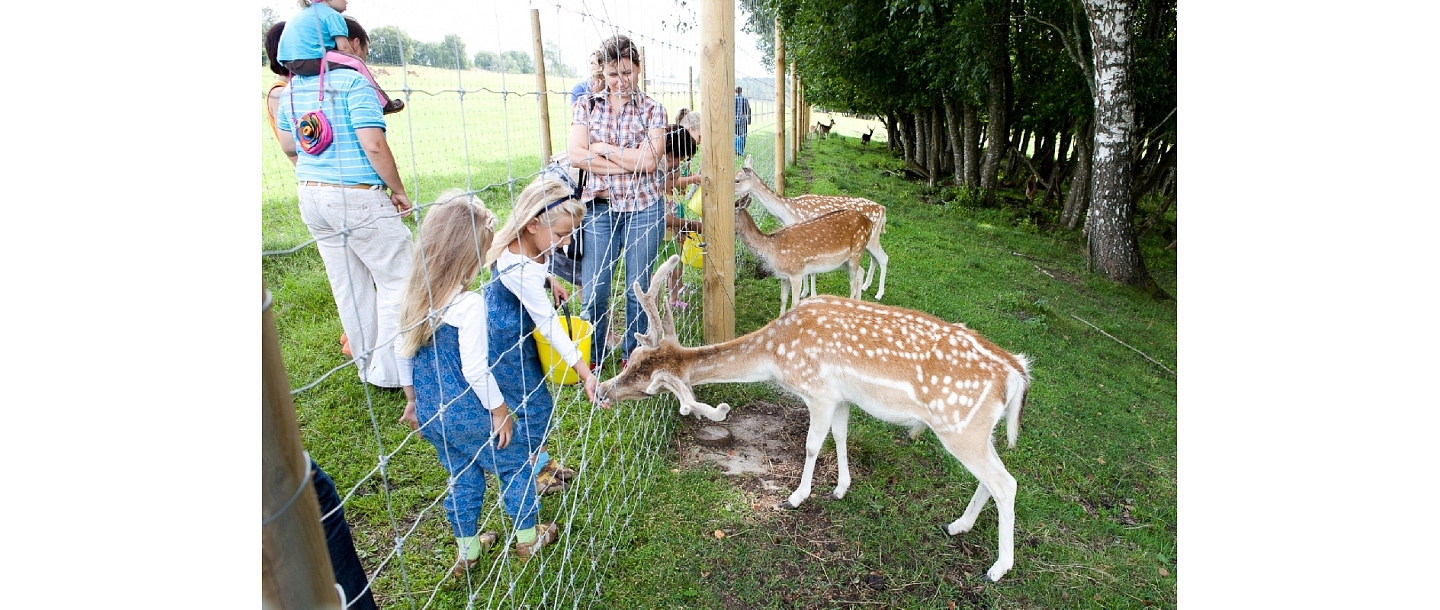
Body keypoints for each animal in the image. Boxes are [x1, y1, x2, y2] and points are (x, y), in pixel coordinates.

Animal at [599, 255, 1033, 582]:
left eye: (645, 381)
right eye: (633, 360)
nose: (601, 392)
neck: (776, 356)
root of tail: (1016, 372)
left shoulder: (818, 392)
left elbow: (811, 445)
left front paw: (796, 496)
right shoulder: (840, 398)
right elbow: (840, 437)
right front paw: (840, 488)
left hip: (960, 427)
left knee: (1006, 483)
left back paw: (997, 568)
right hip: (978, 430)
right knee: (993, 477)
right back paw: (957, 526)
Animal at [733, 201, 873, 314]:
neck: (772, 250)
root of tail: (869, 223)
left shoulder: (796, 272)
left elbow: (794, 303)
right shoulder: (784, 276)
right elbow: (783, 299)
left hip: (857, 251)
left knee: (853, 282)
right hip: (845, 260)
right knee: (861, 272)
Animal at [734, 156, 890, 301]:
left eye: (736, 180)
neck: (787, 212)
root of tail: (882, 209)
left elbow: (811, 271)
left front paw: (807, 293)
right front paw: (806, 292)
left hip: (872, 240)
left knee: (883, 258)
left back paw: (879, 294)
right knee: (874, 259)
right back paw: (866, 286)